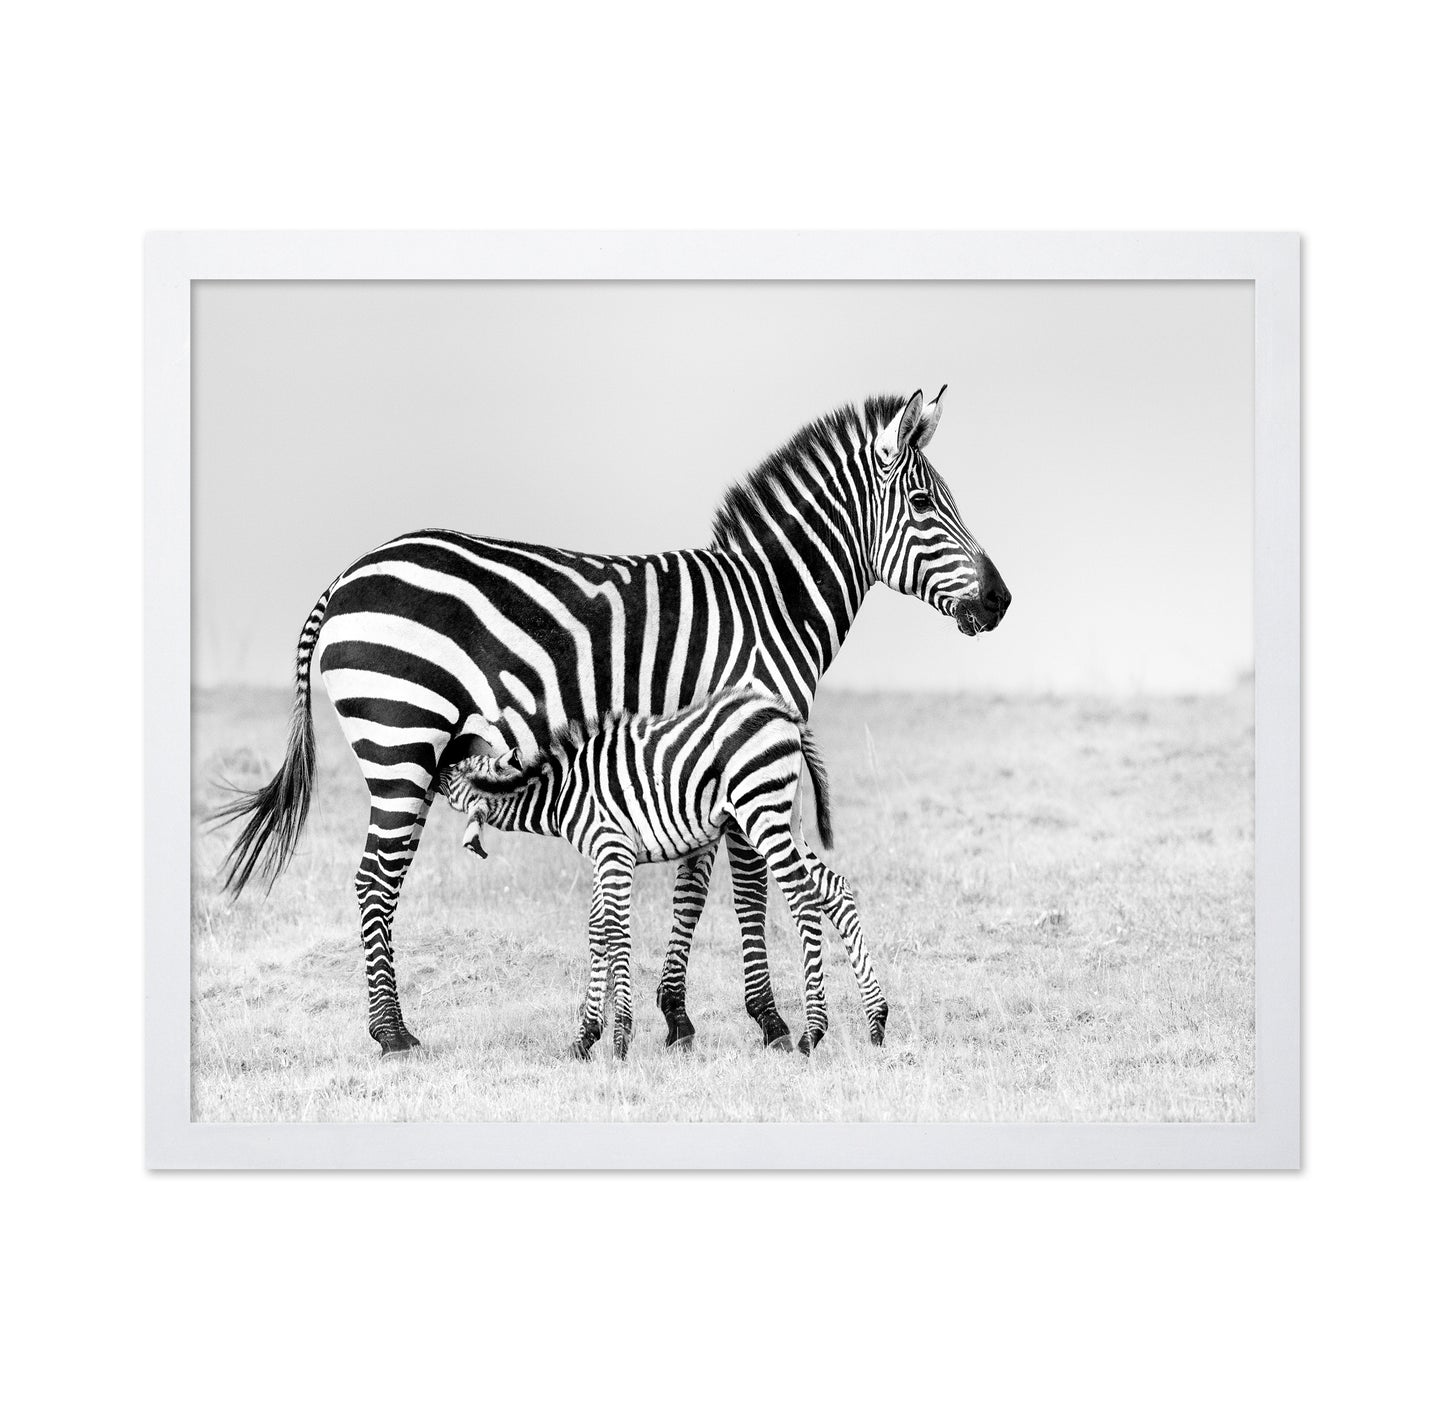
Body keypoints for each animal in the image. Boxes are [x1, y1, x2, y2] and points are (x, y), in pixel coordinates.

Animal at [440, 690, 886, 1058]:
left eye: (454, 769)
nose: (437, 758)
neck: (564, 793)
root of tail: (783, 712)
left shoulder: (613, 849)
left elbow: (615, 933)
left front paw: (620, 1040)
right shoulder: (605, 855)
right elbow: (597, 930)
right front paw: (584, 1038)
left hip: (761, 812)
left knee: (803, 896)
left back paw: (813, 1032)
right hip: (787, 817)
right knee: (834, 890)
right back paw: (877, 1022)